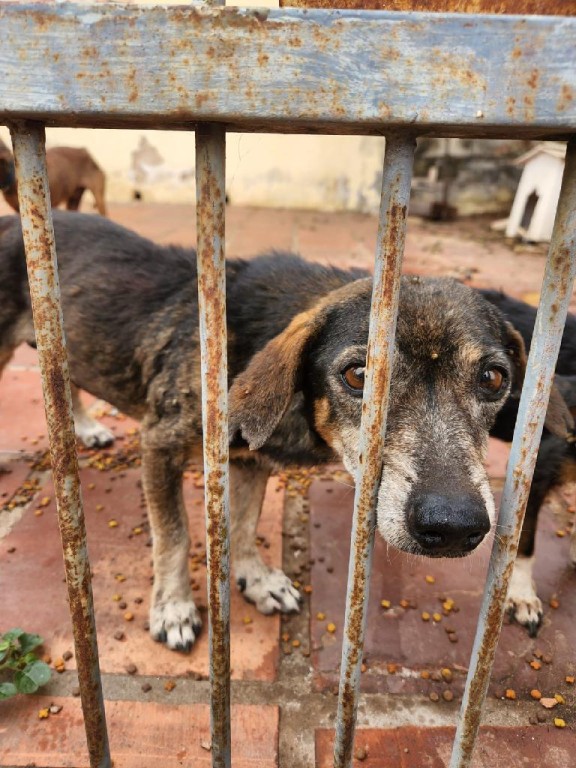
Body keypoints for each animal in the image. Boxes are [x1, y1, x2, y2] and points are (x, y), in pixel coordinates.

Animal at [0, 210, 572, 648]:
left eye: (494, 378)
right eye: (359, 375)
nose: (453, 526)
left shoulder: (250, 461)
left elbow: (245, 523)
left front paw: (256, 578)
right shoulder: (159, 444)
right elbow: (175, 536)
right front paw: (173, 608)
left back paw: (84, 425)